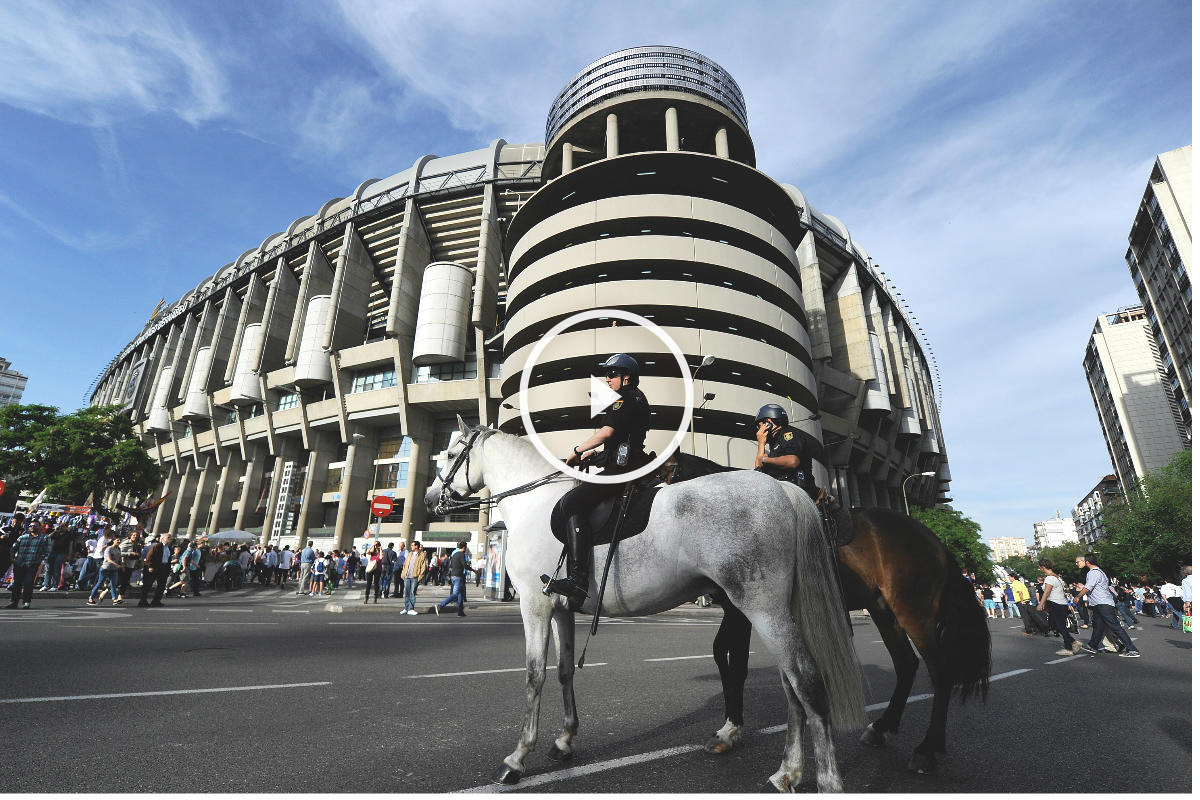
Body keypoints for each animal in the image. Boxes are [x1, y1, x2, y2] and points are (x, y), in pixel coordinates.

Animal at [427, 422, 868, 791]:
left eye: (449, 454)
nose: (432, 500)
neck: (535, 503)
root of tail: (780, 490)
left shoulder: (536, 606)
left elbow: (534, 676)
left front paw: (517, 759)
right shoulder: (562, 609)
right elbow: (565, 671)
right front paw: (565, 740)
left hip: (763, 609)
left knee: (806, 680)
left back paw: (827, 781)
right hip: (770, 611)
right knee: (791, 686)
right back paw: (787, 771)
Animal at [705, 506, 988, 777]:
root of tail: (935, 541)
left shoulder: (742, 606)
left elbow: (737, 664)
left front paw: (731, 728)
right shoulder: (733, 608)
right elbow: (720, 652)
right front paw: (727, 729)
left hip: (915, 610)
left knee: (940, 672)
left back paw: (927, 748)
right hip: (883, 610)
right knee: (906, 663)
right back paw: (883, 726)